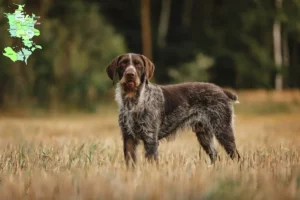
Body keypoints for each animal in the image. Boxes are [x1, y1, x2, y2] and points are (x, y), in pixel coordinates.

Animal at [106, 52, 240, 166]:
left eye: (138, 64)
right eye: (123, 63)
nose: (130, 75)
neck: (133, 101)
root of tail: (222, 90)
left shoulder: (150, 138)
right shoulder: (128, 138)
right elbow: (130, 164)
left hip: (223, 130)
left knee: (236, 156)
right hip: (204, 135)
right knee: (215, 156)